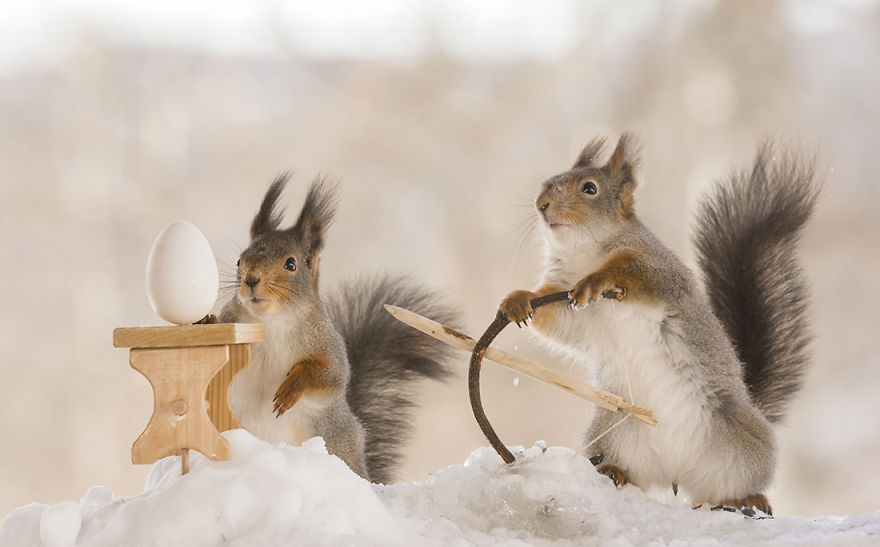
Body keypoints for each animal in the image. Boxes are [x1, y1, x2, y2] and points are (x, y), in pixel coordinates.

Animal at [218, 174, 458, 484]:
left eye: (291, 263)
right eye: (240, 260)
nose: (250, 280)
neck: (269, 321)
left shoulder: (327, 344)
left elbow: (331, 377)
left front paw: (291, 387)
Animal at [499, 134, 819, 515]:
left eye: (590, 188)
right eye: (547, 183)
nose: (542, 204)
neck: (584, 255)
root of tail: (675, 473)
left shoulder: (661, 270)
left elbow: (632, 272)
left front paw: (598, 279)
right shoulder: (569, 305)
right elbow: (554, 319)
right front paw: (519, 299)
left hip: (743, 441)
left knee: (733, 486)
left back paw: (748, 498)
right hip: (614, 431)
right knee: (631, 470)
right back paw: (615, 471)